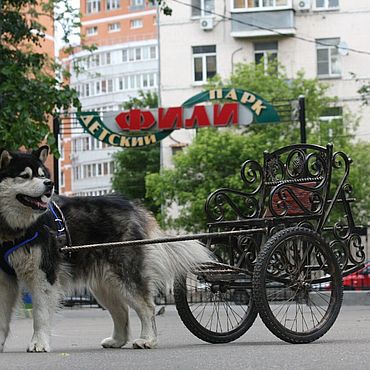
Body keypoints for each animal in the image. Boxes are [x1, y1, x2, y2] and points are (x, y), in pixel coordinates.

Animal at [0, 145, 211, 352]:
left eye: (43, 174)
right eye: (25, 176)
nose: (50, 184)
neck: (14, 229)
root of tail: (133, 206)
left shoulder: (43, 274)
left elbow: (40, 314)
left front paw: (39, 343)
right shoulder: (5, 278)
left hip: (125, 276)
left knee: (147, 307)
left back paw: (147, 340)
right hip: (103, 283)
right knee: (121, 311)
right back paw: (117, 340)